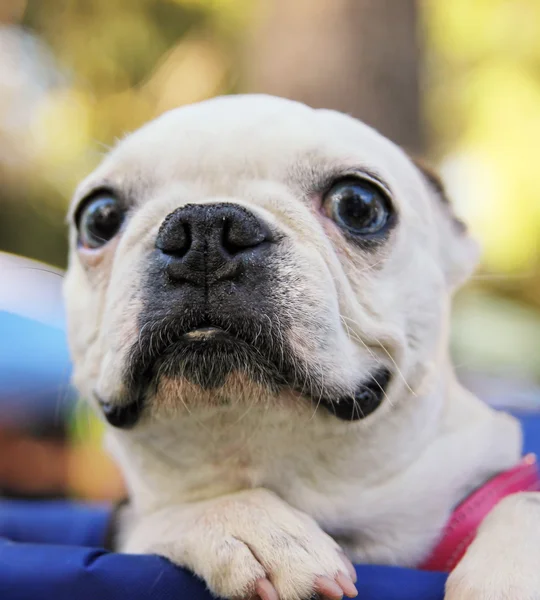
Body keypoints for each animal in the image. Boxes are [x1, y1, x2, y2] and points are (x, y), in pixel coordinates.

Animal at [63, 96, 540, 596]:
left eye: (359, 206)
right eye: (99, 217)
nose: (202, 229)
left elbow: (525, 502)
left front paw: (512, 570)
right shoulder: (127, 521)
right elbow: (163, 516)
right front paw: (251, 528)